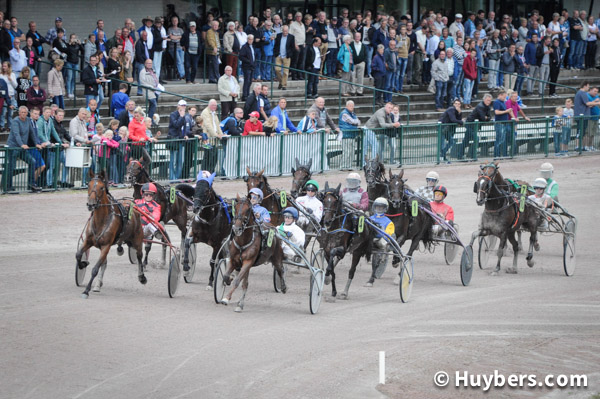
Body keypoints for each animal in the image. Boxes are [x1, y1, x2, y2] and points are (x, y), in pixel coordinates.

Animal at [76, 170, 146, 298]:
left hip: (138, 239)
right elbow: (78, 255)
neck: (101, 220)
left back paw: (142, 277)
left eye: (101, 187)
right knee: (105, 262)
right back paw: (98, 284)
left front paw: (86, 290)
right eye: (88, 185)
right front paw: (83, 263)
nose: (91, 204)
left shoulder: (106, 246)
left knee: (139, 256)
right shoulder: (88, 241)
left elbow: (95, 269)